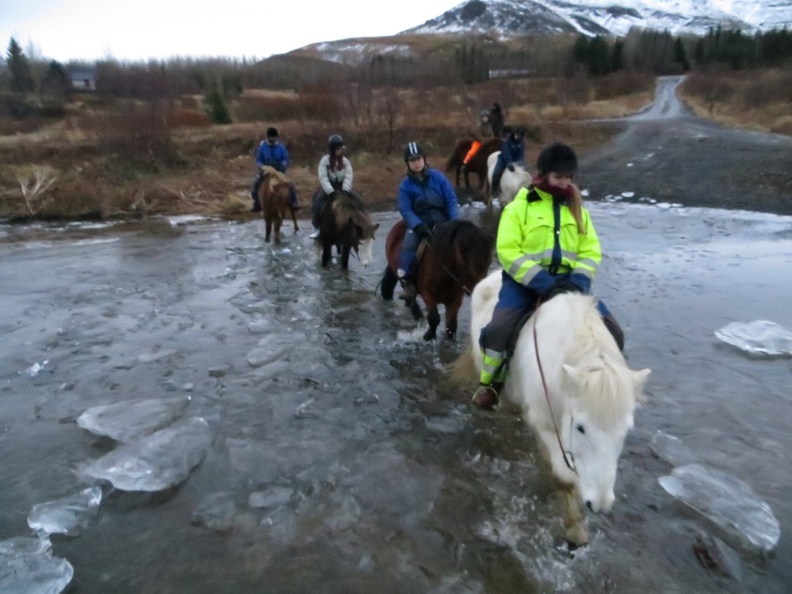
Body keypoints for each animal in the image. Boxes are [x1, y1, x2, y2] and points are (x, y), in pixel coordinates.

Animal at [458, 270, 648, 544]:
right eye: (580, 428)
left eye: (626, 431)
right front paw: (574, 528)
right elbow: (563, 476)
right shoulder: (544, 422)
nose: (600, 504)